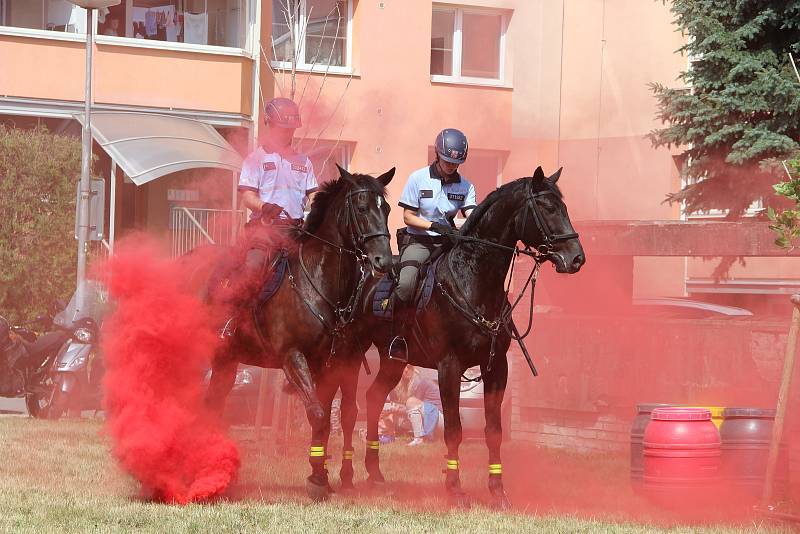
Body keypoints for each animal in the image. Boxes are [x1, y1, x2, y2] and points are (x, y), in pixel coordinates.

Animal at [205, 164, 396, 502]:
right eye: (361, 208)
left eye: (385, 208)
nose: (382, 260)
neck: (318, 282)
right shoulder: (293, 357)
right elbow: (318, 413)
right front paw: (318, 479)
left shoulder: (330, 363)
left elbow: (327, 415)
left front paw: (321, 473)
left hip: (227, 360)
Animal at [334, 170, 584, 508]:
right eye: (547, 207)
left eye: (563, 206)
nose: (577, 258)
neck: (473, 279)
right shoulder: (449, 367)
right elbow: (453, 429)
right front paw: (455, 488)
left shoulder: (496, 368)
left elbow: (493, 430)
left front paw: (498, 491)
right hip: (350, 355)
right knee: (350, 409)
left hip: (393, 360)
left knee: (373, 398)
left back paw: (375, 472)